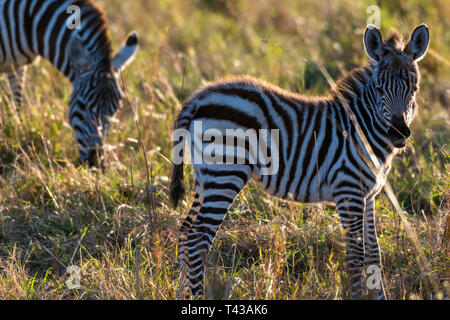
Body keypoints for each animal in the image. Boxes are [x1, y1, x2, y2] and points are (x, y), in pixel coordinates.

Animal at [0, 0, 138, 165]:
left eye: (115, 110)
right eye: (83, 105)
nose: (95, 163)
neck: (28, 21)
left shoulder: (16, 67)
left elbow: (17, 104)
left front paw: (17, 133)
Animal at [171, 25, 430, 300]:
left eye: (414, 89)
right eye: (380, 89)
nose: (399, 133)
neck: (362, 128)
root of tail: (199, 98)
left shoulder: (368, 194)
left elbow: (373, 252)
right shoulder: (347, 190)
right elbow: (355, 255)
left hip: (205, 177)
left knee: (186, 232)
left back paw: (182, 294)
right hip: (225, 174)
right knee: (198, 238)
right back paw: (197, 297)